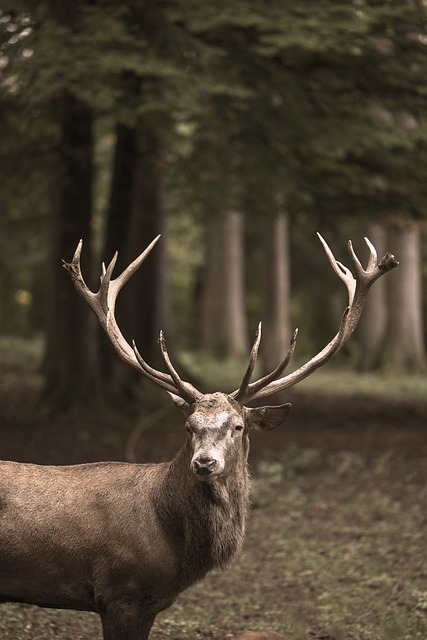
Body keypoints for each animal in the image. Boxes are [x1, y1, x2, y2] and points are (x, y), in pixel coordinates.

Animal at [0, 235, 400, 640]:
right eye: (189, 426)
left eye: (238, 426)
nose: (204, 462)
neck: (176, 549)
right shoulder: (118, 592)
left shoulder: (143, 603)